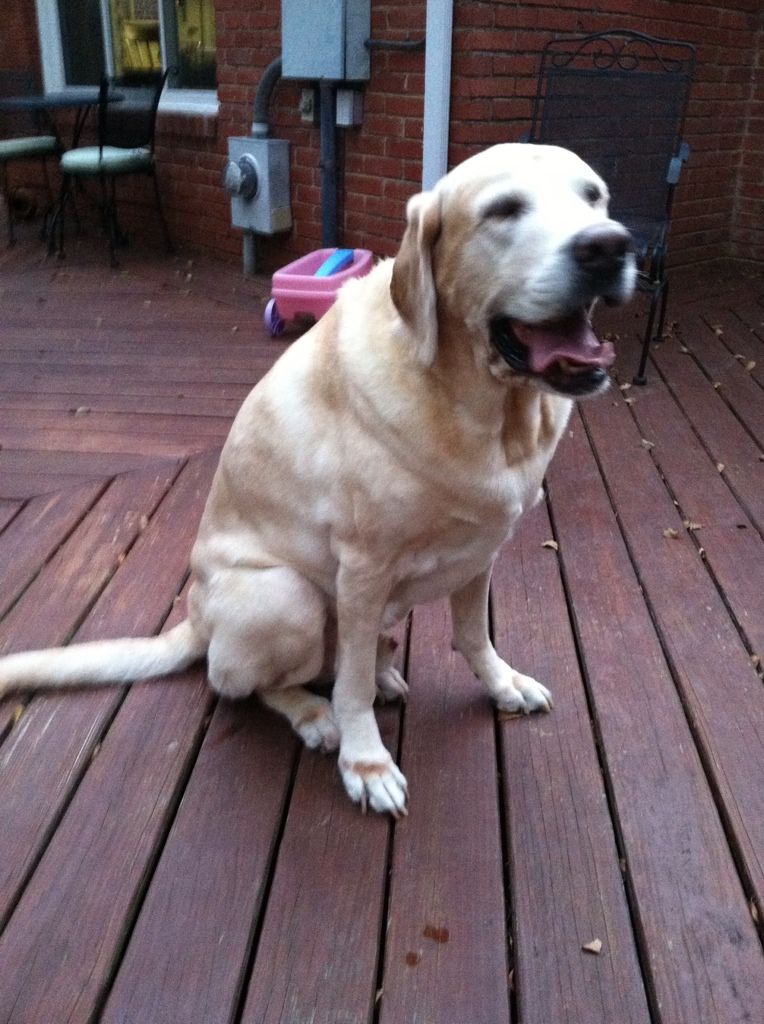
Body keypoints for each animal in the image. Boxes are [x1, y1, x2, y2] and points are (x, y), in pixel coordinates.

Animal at [0, 144, 630, 815]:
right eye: (504, 210)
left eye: (594, 196)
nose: (609, 247)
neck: (490, 412)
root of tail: (196, 623)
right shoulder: (363, 567)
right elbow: (349, 687)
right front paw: (366, 761)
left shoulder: (481, 552)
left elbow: (472, 635)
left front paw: (502, 683)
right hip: (286, 596)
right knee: (242, 683)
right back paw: (313, 715)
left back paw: (383, 673)